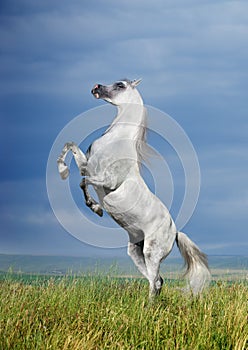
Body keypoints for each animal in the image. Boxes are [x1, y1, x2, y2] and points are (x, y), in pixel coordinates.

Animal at [57, 79, 210, 298]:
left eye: (120, 85)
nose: (96, 87)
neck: (115, 141)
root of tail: (174, 232)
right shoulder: (88, 165)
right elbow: (70, 146)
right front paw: (62, 170)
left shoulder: (107, 181)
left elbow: (83, 182)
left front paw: (96, 208)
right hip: (136, 252)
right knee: (158, 281)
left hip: (151, 253)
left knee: (154, 281)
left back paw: (148, 306)